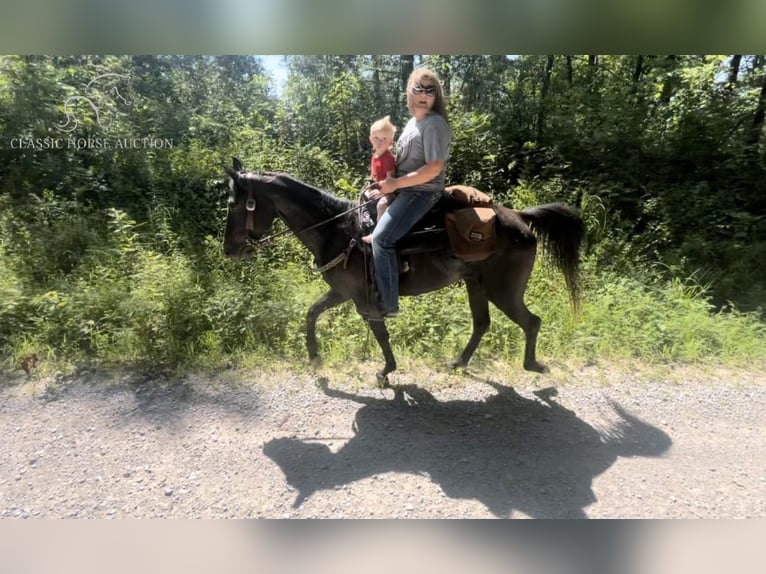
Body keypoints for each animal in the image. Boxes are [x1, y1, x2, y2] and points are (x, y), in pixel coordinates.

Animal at [225, 160, 584, 384]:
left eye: (235, 204)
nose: (229, 250)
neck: (339, 230)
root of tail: (521, 218)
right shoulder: (342, 292)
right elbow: (312, 314)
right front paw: (315, 357)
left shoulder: (363, 300)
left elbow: (380, 333)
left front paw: (386, 370)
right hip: (476, 284)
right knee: (482, 323)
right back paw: (458, 363)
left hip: (503, 290)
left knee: (530, 322)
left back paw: (533, 365)